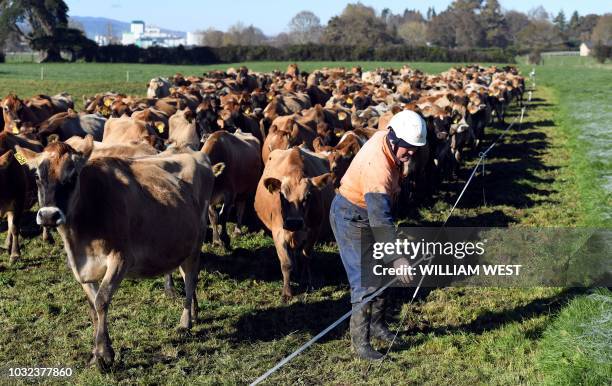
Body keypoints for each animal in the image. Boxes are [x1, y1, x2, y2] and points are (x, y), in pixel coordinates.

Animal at [14, 139, 220, 370]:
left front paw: (104, 355)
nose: (49, 215)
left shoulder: (121, 258)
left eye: (72, 176)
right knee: (186, 277)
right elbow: (93, 307)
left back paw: (185, 322)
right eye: (37, 177)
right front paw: (97, 353)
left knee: (191, 278)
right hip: (183, 245)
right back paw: (194, 312)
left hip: (197, 240)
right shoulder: (81, 269)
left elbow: (101, 301)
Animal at [255, 146, 332, 300]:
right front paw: (287, 292)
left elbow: (305, 256)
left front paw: (305, 281)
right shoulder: (278, 232)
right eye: (281, 195)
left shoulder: (314, 230)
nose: (294, 223)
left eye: (308, 196)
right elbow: (286, 263)